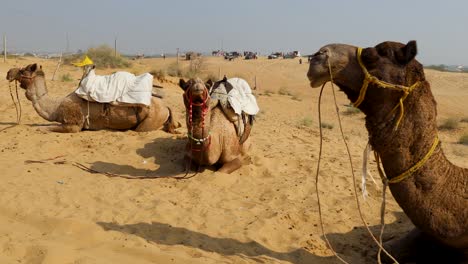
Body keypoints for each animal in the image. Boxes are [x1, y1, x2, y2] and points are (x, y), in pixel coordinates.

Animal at [6, 63, 180, 133]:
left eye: (23, 70)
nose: (8, 72)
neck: (56, 106)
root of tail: (166, 106)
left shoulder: (74, 125)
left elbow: (44, 128)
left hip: (151, 119)